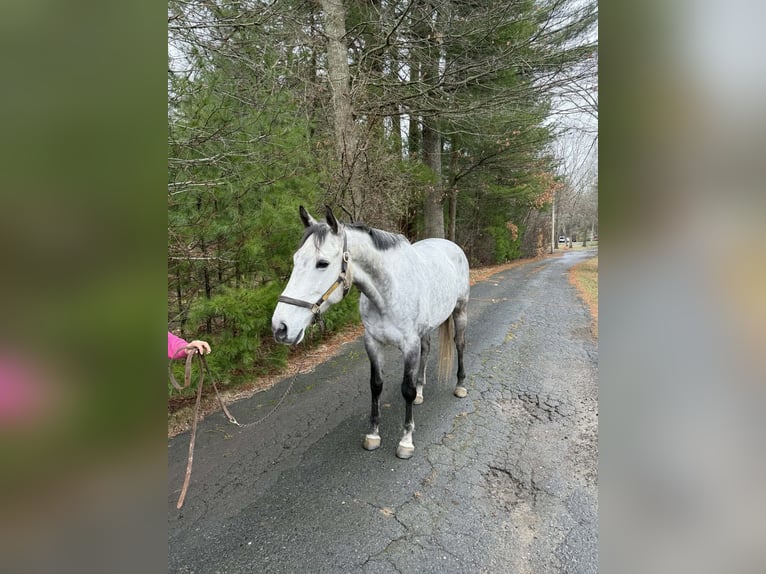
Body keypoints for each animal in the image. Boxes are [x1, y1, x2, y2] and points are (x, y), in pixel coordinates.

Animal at [271, 205, 470, 459]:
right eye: (296, 260)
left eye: (322, 263)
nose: (280, 327)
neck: (389, 292)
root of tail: (451, 245)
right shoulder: (373, 342)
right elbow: (376, 385)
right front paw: (373, 435)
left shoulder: (409, 345)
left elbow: (406, 389)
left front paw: (406, 440)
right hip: (424, 331)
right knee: (426, 351)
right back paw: (421, 393)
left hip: (460, 311)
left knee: (459, 344)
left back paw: (460, 386)